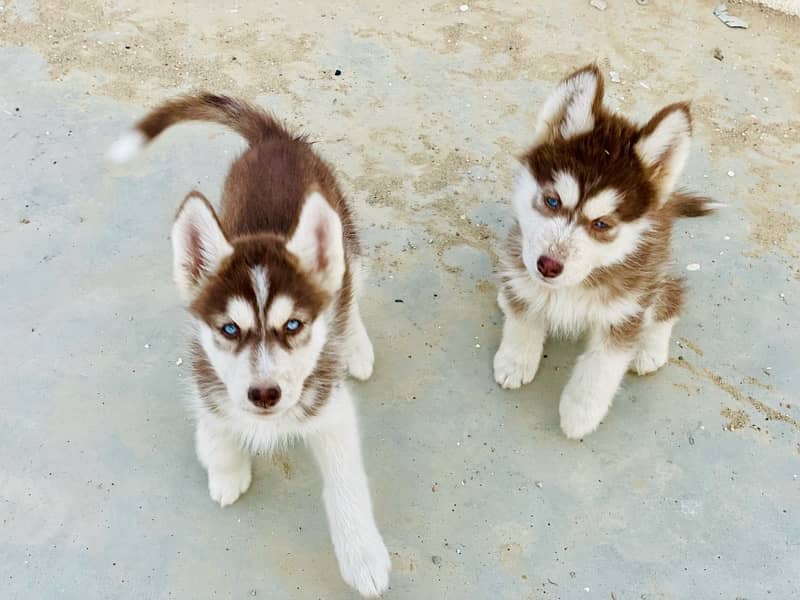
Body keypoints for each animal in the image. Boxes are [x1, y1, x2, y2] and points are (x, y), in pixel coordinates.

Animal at [108, 94, 390, 596]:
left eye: (294, 325)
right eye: (229, 330)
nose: (263, 395)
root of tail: (275, 138)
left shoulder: (330, 407)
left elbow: (346, 484)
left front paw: (364, 557)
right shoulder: (206, 376)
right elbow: (214, 424)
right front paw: (225, 467)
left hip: (345, 241)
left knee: (348, 290)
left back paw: (355, 345)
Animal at [494, 65, 720, 438]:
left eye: (601, 224)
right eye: (552, 201)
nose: (548, 266)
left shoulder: (624, 312)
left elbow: (601, 368)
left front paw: (581, 412)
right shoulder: (522, 264)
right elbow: (524, 313)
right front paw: (516, 358)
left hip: (655, 275)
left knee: (671, 298)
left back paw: (650, 348)